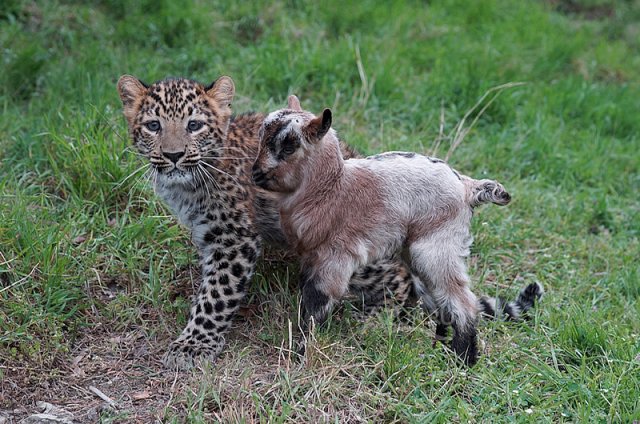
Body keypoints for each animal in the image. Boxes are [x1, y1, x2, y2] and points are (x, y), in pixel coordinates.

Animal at [252, 96, 512, 364]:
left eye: (289, 146)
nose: (256, 173)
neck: (332, 188)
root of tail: (466, 186)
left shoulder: (335, 258)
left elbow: (317, 301)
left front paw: (302, 350)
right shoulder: (311, 257)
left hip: (437, 245)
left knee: (462, 299)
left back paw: (463, 358)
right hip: (416, 251)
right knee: (438, 296)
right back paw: (439, 347)